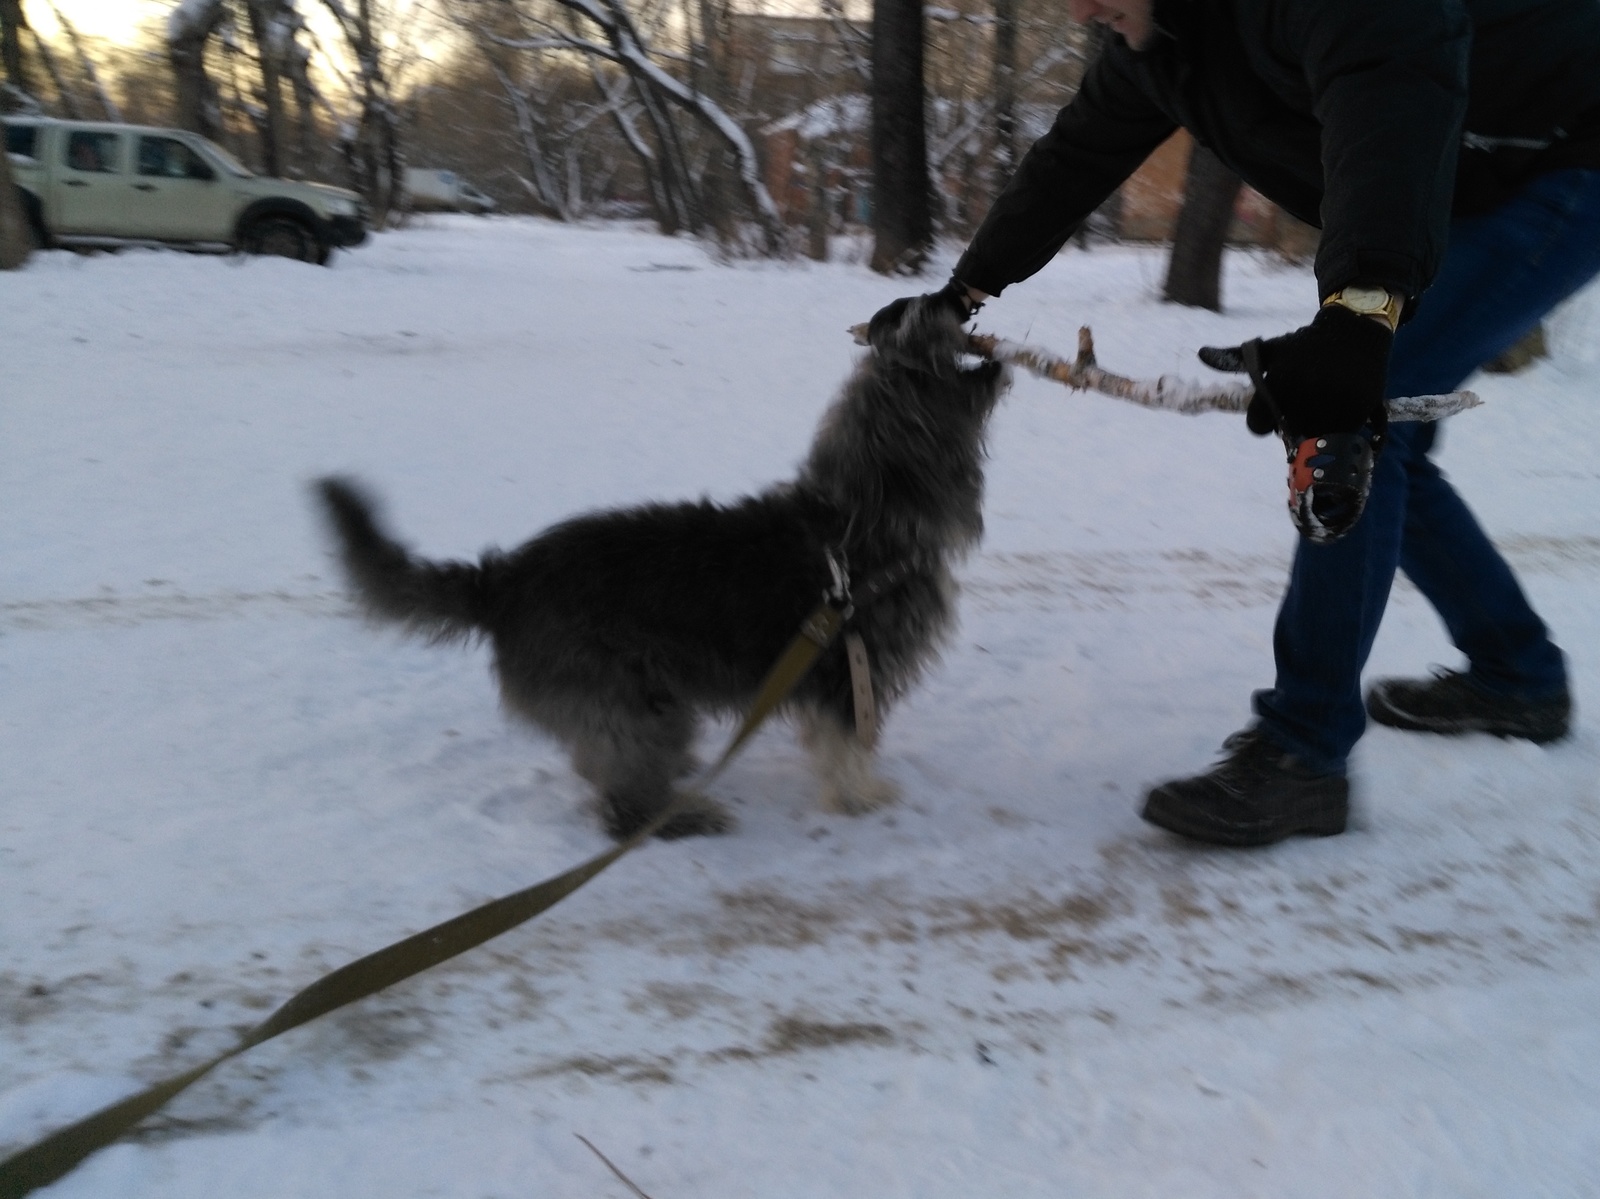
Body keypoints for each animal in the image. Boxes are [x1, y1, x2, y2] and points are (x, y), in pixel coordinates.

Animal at [313, 297, 1004, 838]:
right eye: (911, 353)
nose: (924, 302)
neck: (862, 519)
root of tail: (503, 580)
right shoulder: (849, 669)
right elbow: (847, 743)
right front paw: (862, 797)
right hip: (636, 703)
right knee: (621, 804)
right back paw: (682, 816)